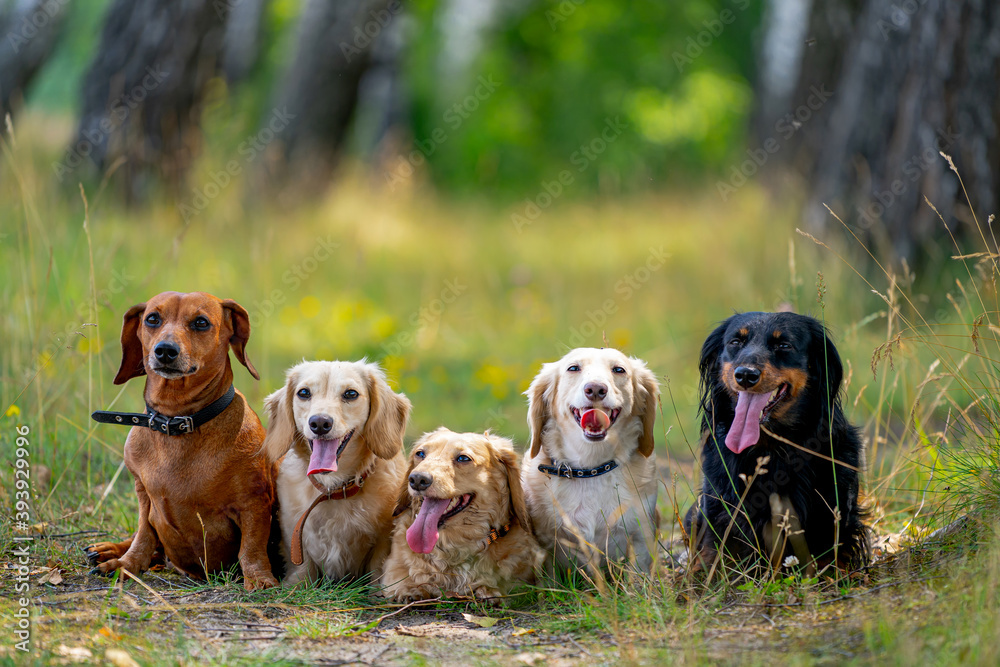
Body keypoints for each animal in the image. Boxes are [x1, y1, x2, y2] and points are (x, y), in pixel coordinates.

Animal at [264, 360, 412, 584]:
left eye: (351, 394)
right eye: (304, 392)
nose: (320, 423)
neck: (333, 489)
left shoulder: (383, 538)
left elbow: (377, 568)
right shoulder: (295, 534)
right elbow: (303, 569)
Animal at [684, 314, 872, 576]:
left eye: (784, 345)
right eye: (735, 342)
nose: (745, 375)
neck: (769, 448)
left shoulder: (833, 512)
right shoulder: (719, 510)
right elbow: (717, 555)